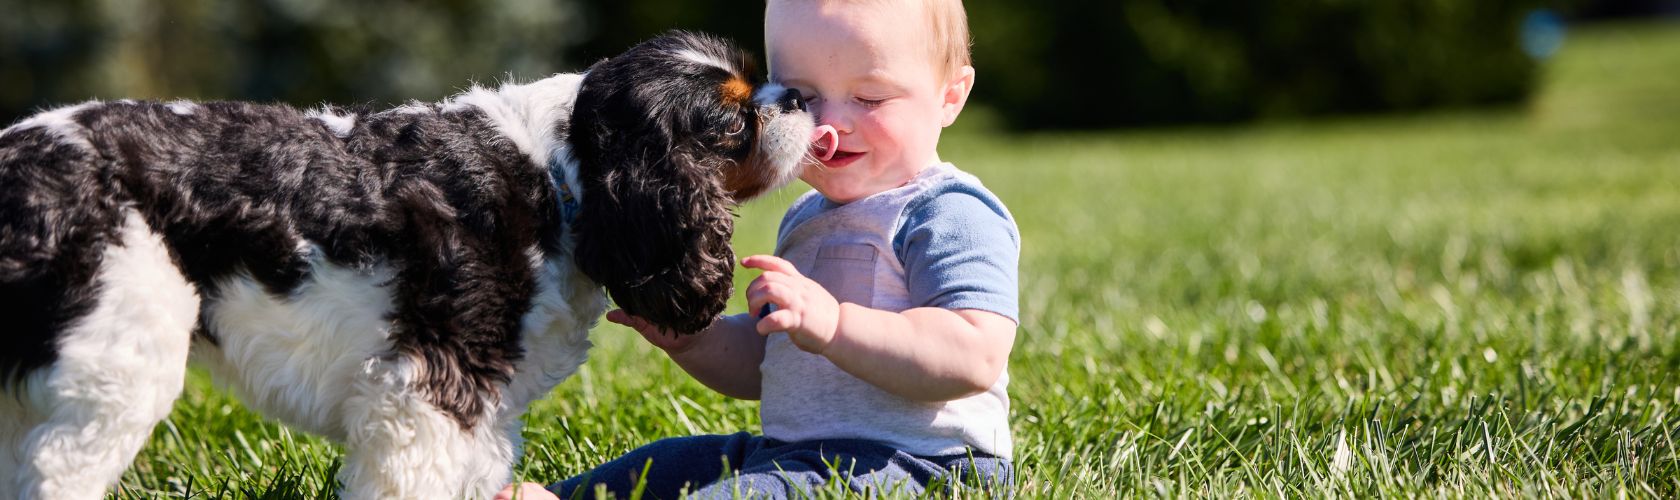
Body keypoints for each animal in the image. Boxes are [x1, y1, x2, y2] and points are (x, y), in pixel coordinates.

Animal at [3, 32, 829, 500]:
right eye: (733, 120)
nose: (797, 97)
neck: (560, 173)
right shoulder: (425, 394)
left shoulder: (479, 414)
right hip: (118, 361)